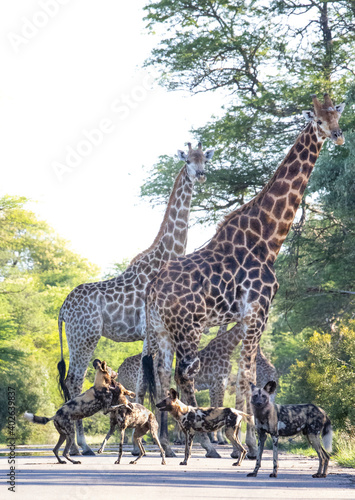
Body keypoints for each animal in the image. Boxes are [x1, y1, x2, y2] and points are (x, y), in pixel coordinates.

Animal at [57, 143, 216, 456]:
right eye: (188, 161)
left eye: (205, 160)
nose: (201, 175)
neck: (167, 256)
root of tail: (63, 309)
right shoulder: (155, 332)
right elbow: (154, 381)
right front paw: (164, 441)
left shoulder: (150, 335)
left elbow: (146, 383)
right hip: (85, 337)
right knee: (74, 380)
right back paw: (82, 446)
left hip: (76, 337)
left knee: (72, 380)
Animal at [143, 92, 346, 458]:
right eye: (318, 121)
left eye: (337, 116)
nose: (338, 136)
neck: (267, 239)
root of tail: (152, 289)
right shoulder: (257, 314)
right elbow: (247, 376)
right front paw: (251, 445)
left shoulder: (251, 317)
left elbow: (243, 377)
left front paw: (245, 441)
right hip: (187, 329)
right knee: (184, 374)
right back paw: (204, 443)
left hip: (162, 330)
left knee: (164, 374)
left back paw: (166, 441)